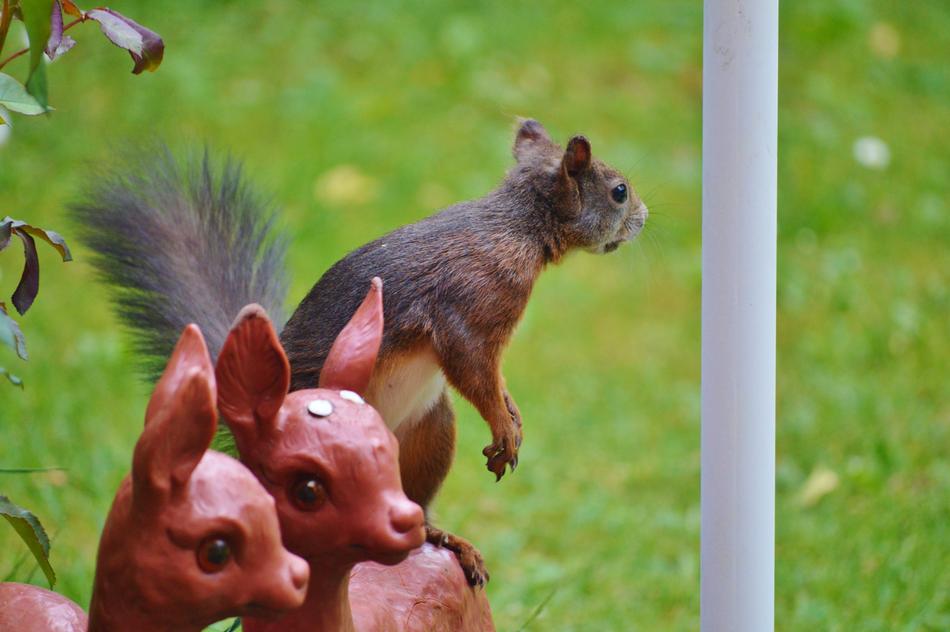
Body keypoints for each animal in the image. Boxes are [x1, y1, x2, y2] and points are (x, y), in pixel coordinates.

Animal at [70, 119, 648, 585]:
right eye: (618, 191)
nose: (644, 216)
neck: (518, 227)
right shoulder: (471, 306)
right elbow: (473, 369)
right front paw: (503, 426)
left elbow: (493, 381)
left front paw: (512, 412)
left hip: (427, 433)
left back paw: (440, 538)